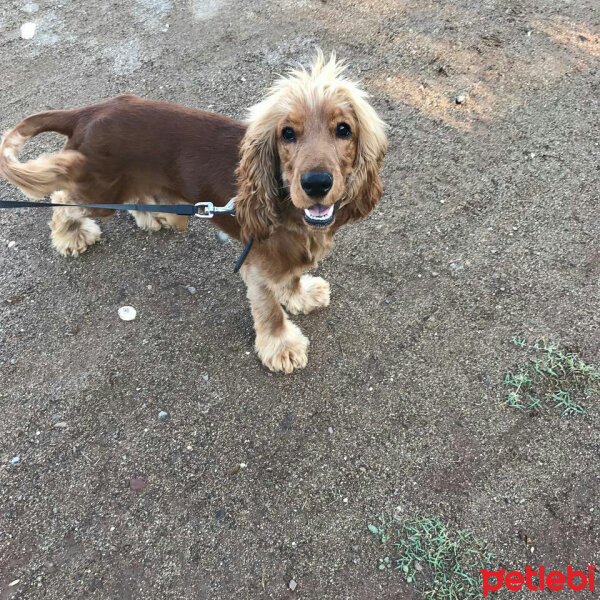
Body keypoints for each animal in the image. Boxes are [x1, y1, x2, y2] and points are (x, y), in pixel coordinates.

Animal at [1, 55, 390, 376]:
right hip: (100, 191)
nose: (317, 183)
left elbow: (292, 277)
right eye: (287, 134)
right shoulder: (256, 265)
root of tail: (91, 110)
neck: (290, 212)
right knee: (62, 196)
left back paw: (152, 215)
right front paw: (281, 347)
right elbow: (269, 311)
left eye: (343, 129)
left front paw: (301, 294)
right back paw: (71, 235)